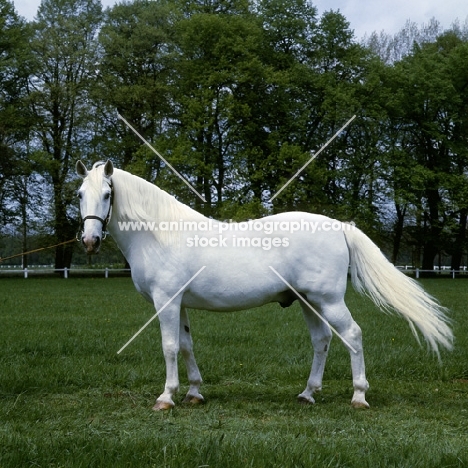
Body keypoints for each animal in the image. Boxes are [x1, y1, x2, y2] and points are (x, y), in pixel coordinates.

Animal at [76, 161, 454, 410]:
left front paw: (166, 397)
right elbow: (185, 346)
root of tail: (338, 226)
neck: (159, 234)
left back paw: (359, 395)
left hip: (329, 300)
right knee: (322, 340)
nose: (90, 241)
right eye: (79, 194)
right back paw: (308, 393)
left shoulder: (166, 301)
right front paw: (194, 393)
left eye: (107, 194)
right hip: (309, 302)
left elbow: (169, 348)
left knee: (353, 335)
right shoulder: (180, 303)